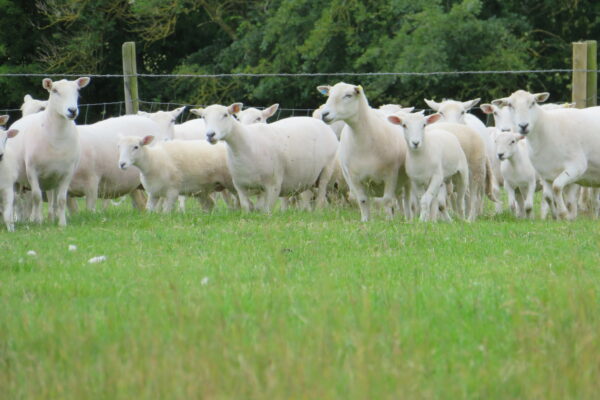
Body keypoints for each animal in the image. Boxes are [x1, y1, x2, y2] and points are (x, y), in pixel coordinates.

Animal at [9, 76, 90, 225]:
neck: (57, 139)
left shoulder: (67, 172)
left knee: (52, 200)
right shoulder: (32, 171)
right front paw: (37, 221)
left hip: (52, 178)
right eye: (54, 90)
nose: (72, 110)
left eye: (77, 90)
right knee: (16, 200)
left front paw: (62, 223)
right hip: (17, 179)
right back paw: (19, 219)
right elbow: (37, 197)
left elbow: (61, 199)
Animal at [193, 104, 340, 214]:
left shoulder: (273, 184)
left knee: (321, 195)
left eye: (225, 115)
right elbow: (247, 207)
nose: (210, 135)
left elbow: (265, 210)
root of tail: (319, 122)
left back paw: (318, 212)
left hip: (326, 169)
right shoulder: (240, 186)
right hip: (306, 176)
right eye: (203, 117)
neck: (247, 145)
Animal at [492, 90, 600, 220]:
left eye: (533, 103)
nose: (523, 126)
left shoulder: (576, 166)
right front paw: (556, 217)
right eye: (510, 105)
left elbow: (557, 187)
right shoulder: (545, 174)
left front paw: (564, 214)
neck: (547, 130)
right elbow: (548, 196)